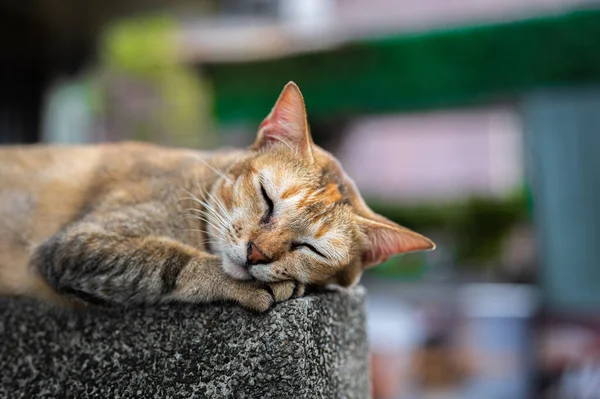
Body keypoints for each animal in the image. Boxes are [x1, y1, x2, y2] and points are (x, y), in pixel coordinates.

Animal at [0, 82, 434, 312]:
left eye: (313, 249)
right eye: (267, 198)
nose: (256, 254)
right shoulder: (75, 243)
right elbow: (165, 260)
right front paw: (236, 281)